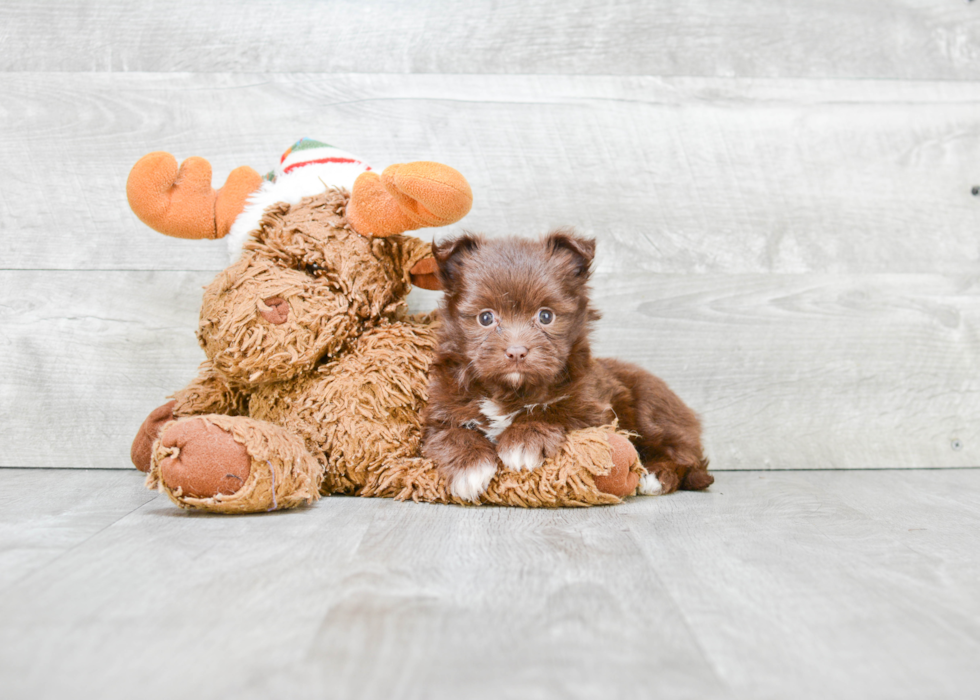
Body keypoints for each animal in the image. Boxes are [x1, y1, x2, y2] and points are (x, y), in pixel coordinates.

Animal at [422, 231, 712, 504]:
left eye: (545, 316)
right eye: (485, 318)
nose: (516, 351)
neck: (511, 390)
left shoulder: (593, 408)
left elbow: (554, 411)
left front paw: (523, 440)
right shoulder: (442, 410)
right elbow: (449, 433)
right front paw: (470, 466)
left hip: (650, 406)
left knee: (685, 458)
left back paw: (655, 476)